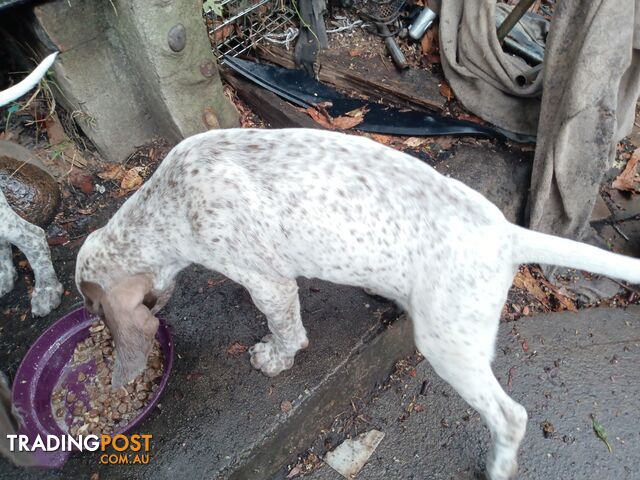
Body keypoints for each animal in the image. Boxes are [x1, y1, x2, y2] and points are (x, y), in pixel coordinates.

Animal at [76, 128, 640, 480]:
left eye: (96, 311)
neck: (167, 204)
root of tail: (506, 234)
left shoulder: (270, 282)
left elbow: (286, 331)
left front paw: (273, 359)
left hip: (448, 344)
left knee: (511, 416)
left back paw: (499, 466)